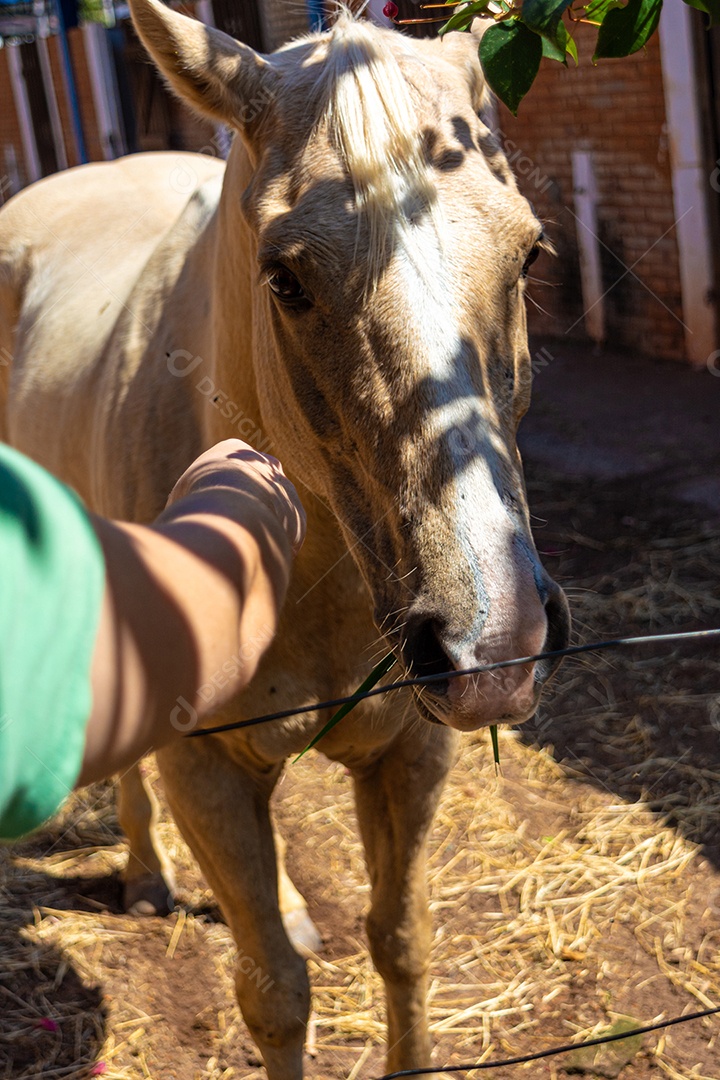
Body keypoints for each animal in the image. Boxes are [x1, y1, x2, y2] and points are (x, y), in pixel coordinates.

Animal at [0, 2, 570, 1076]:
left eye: (528, 255)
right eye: (285, 278)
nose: (492, 644)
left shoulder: (410, 758)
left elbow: (402, 941)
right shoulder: (207, 773)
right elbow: (272, 995)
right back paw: (147, 876)